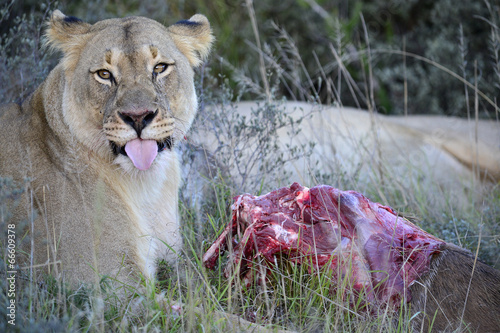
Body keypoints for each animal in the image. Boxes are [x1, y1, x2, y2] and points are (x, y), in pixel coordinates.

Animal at [0, 11, 213, 284]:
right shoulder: (109, 282)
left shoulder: (173, 259)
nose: (138, 116)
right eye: (104, 74)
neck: (147, 188)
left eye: (160, 67)